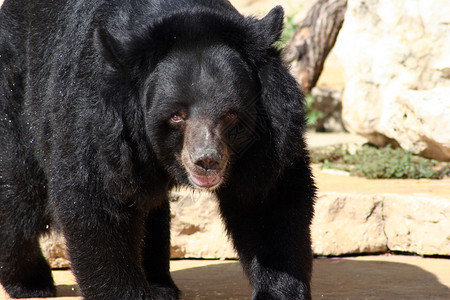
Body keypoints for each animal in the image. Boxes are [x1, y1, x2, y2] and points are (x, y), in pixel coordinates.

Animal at [0, 0, 316, 298]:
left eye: (230, 114)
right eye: (176, 115)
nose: (207, 161)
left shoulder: (267, 137)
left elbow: (267, 200)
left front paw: (277, 291)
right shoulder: (101, 121)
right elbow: (98, 202)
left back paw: (160, 284)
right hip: (18, 92)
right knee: (20, 191)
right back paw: (31, 282)